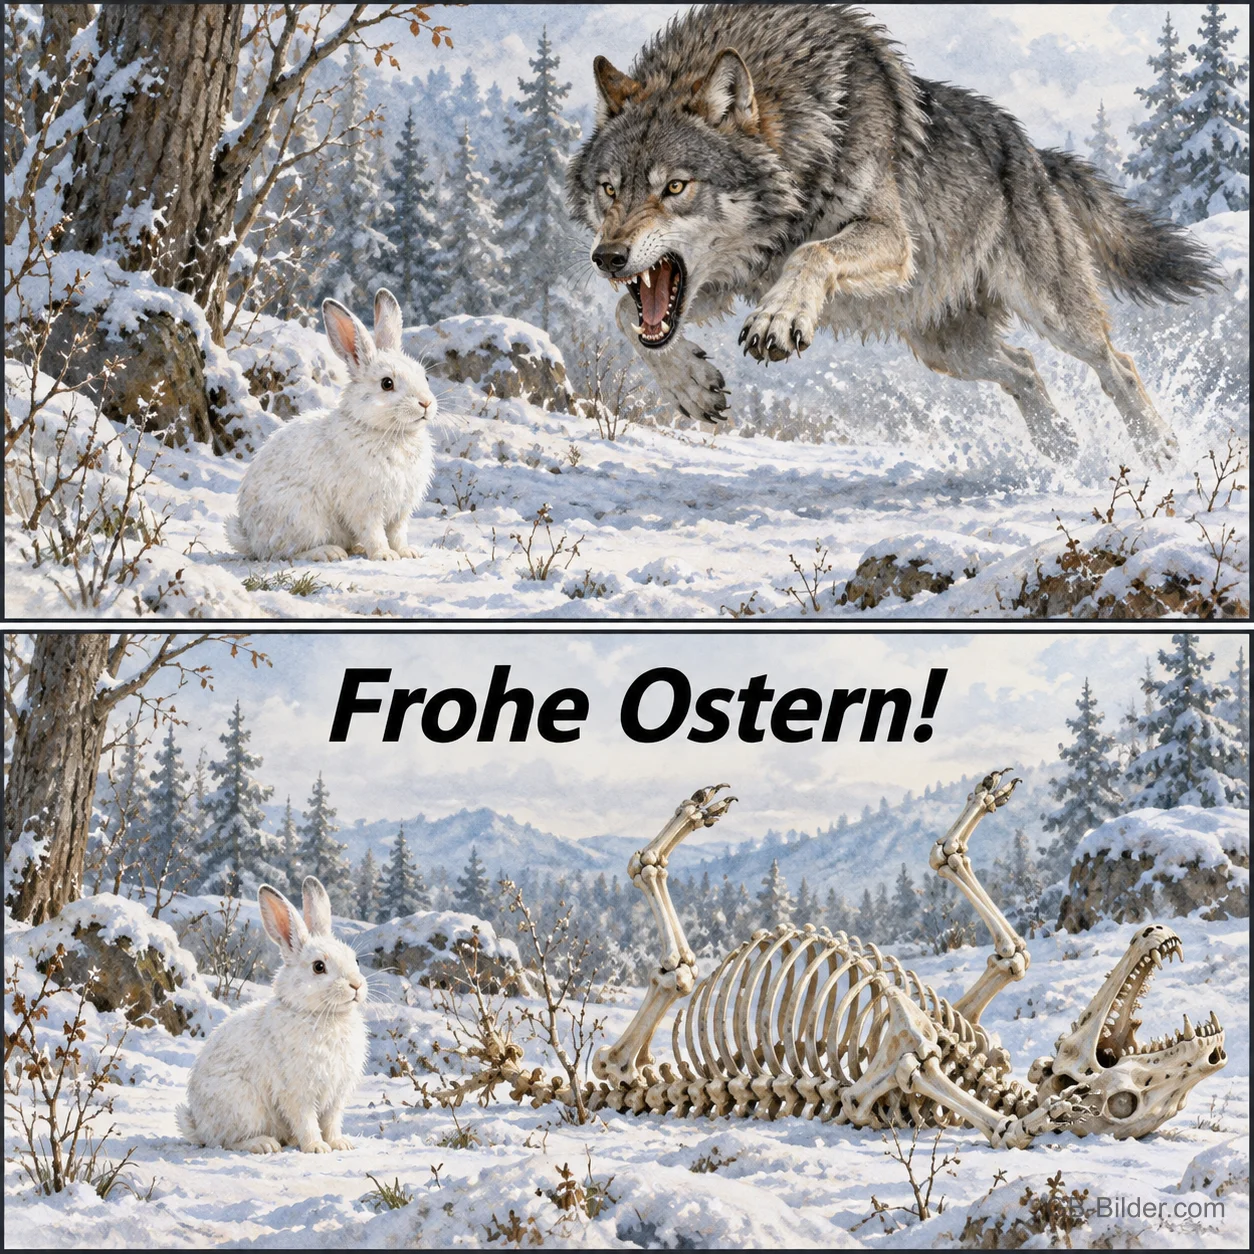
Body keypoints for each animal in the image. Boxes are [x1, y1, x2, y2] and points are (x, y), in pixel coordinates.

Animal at [175, 877, 369, 1154]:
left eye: (356, 961)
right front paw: (317, 1148)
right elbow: (306, 1120)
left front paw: (340, 1144)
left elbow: (331, 1121)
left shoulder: (336, 1095)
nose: (357, 985)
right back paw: (264, 1144)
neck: (321, 1015)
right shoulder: (297, 1091)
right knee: (225, 1141)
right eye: (318, 967)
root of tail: (198, 1126)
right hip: (244, 1105)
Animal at [226, 288, 436, 562]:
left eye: (425, 376)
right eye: (387, 383)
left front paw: (407, 553)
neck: (388, 433)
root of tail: (250, 537)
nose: (426, 403)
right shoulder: (364, 504)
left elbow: (398, 533)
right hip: (303, 517)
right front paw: (384, 555)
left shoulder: (400, 510)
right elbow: (374, 531)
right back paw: (330, 552)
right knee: (285, 553)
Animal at [567, 4, 1221, 465]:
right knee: (1025, 367)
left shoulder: (888, 239)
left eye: (675, 187)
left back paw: (1161, 451)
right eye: (609, 189)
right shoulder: (733, 278)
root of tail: (1036, 152)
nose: (607, 257)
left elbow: (813, 253)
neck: (805, 137)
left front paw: (780, 319)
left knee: (1116, 361)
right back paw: (1060, 445)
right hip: (945, 347)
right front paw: (692, 388)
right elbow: (627, 317)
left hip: (1053, 313)